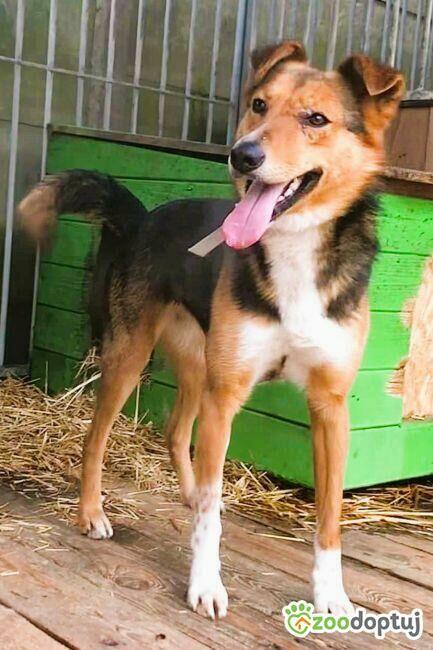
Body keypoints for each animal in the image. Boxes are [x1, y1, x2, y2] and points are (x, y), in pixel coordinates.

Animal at [19, 40, 404, 619]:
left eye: (316, 119)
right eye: (260, 105)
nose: (243, 155)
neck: (294, 248)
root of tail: (142, 218)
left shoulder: (331, 407)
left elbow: (330, 517)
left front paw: (332, 594)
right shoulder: (227, 396)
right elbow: (210, 521)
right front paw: (205, 583)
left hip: (199, 363)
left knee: (178, 433)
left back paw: (190, 491)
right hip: (132, 356)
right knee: (97, 438)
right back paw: (92, 513)